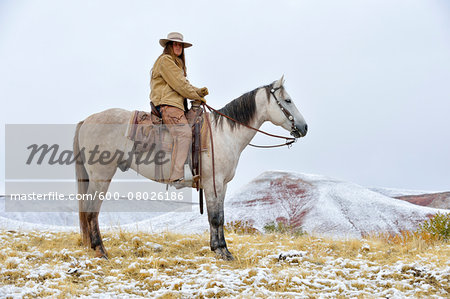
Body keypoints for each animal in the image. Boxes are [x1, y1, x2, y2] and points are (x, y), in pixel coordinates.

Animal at [74, 77, 308, 260]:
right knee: (92, 211)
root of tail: (87, 120)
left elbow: (218, 216)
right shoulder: (214, 183)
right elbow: (216, 217)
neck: (223, 134)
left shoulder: (220, 185)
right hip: (101, 176)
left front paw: (220, 249)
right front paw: (223, 252)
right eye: (288, 100)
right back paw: (101, 250)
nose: (304, 127)